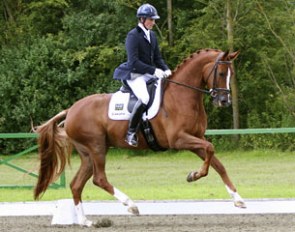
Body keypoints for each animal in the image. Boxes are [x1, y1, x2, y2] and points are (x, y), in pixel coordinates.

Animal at [34, 49, 247, 227]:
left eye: (231, 75)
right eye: (221, 73)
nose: (224, 101)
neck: (183, 96)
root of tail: (71, 110)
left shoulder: (195, 139)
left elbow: (217, 163)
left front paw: (237, 199)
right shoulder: (179, 139)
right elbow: (210, 148)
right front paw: (194, 175)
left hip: (87, 153)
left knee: (77, 184)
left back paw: (86, 222)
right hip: (96, 147)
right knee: (99, 179)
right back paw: (131, 205)